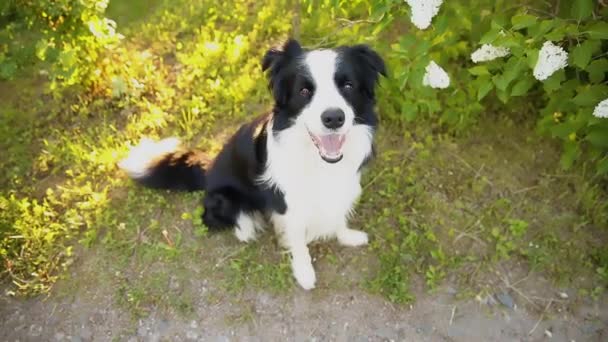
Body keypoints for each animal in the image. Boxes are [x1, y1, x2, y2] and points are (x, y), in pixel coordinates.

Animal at [119, 39, 384, 288]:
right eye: (304, 91)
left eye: (348, 86)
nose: (334, 118)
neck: (317, 160)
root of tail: (209, 169)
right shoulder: (288, 202)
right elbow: (298, 241)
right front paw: (304, 273)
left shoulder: (340, 188)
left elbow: (337, 217)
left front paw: (348, 237)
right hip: (224, 199)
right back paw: (246, 227)